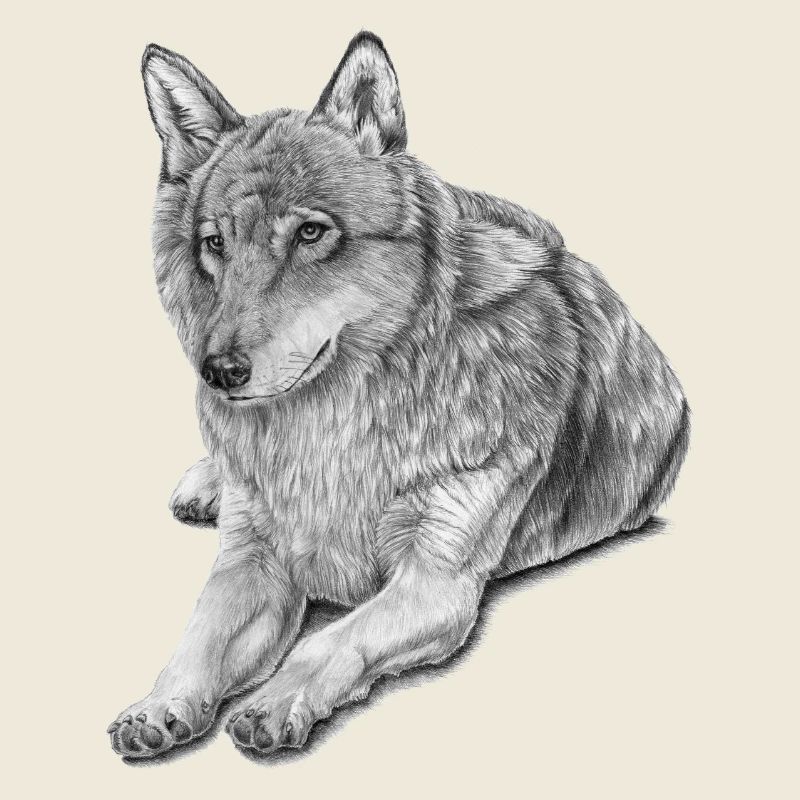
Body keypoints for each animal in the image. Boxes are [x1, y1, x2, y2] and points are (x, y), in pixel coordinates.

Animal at [108, 31, 689, 759]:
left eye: (311, 233)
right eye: (215, 243)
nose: (220, 372)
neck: (331, 430)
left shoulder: (436, 582)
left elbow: (330, 639)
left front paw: (273, 702)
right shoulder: (252, 561)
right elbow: (197, 640)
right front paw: (157, 705)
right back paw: (204, 483)